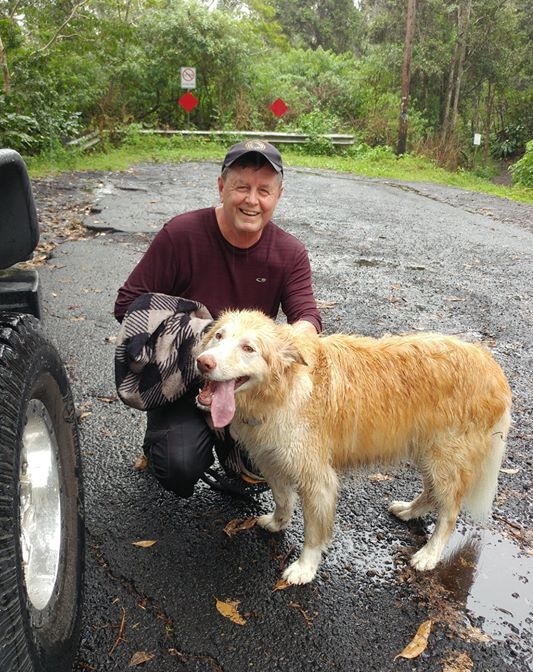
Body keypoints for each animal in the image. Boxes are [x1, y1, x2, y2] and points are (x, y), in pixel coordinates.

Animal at [193, 310, 510, 584]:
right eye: (219, 335)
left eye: (249, 348)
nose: (203, 362)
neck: (284, 388)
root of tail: (491, 365)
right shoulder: (272, 460)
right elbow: (282, 499)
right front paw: (277, 522)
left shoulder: (318, 480)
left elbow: (313, 531)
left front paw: (305, 568)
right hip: (427, 451)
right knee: (433, 492)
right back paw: (409, 511)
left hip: (444, 457)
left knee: (450, 512)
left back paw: (430, 554)